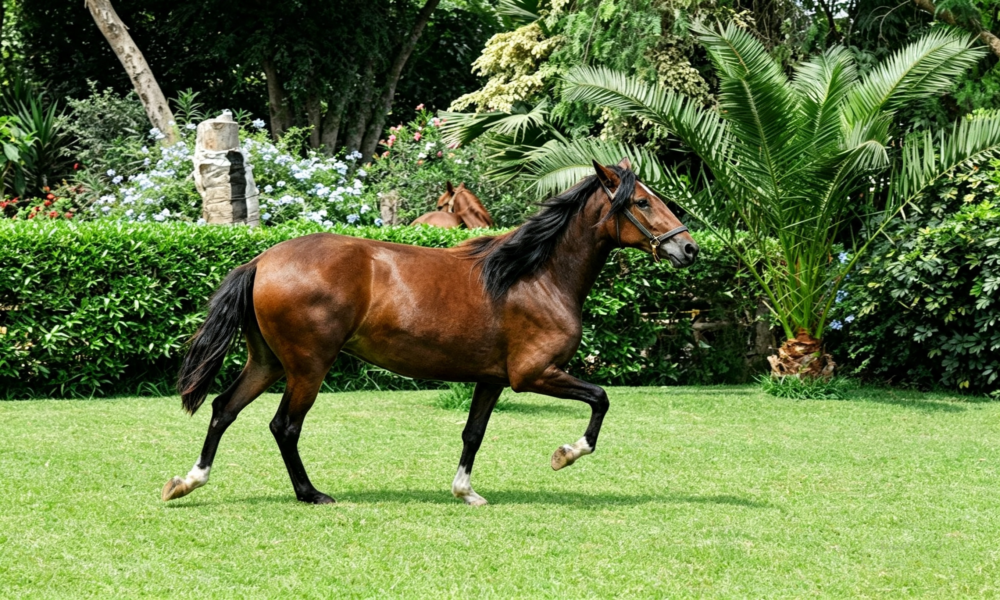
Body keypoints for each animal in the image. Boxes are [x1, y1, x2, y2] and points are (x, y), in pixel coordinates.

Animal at [162, 158, 698, 506]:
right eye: (643, 203)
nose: (689, 248)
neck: (534, 275)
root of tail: (261, 260)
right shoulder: (534, 375)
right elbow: (601, 398)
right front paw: (565, 455)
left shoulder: (492, 379)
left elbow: (473, 433)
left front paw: (466, 492)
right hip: (307, 366)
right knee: (284, 426)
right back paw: (310, 494)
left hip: (269, 362)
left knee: (223, 409)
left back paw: (187, 482)